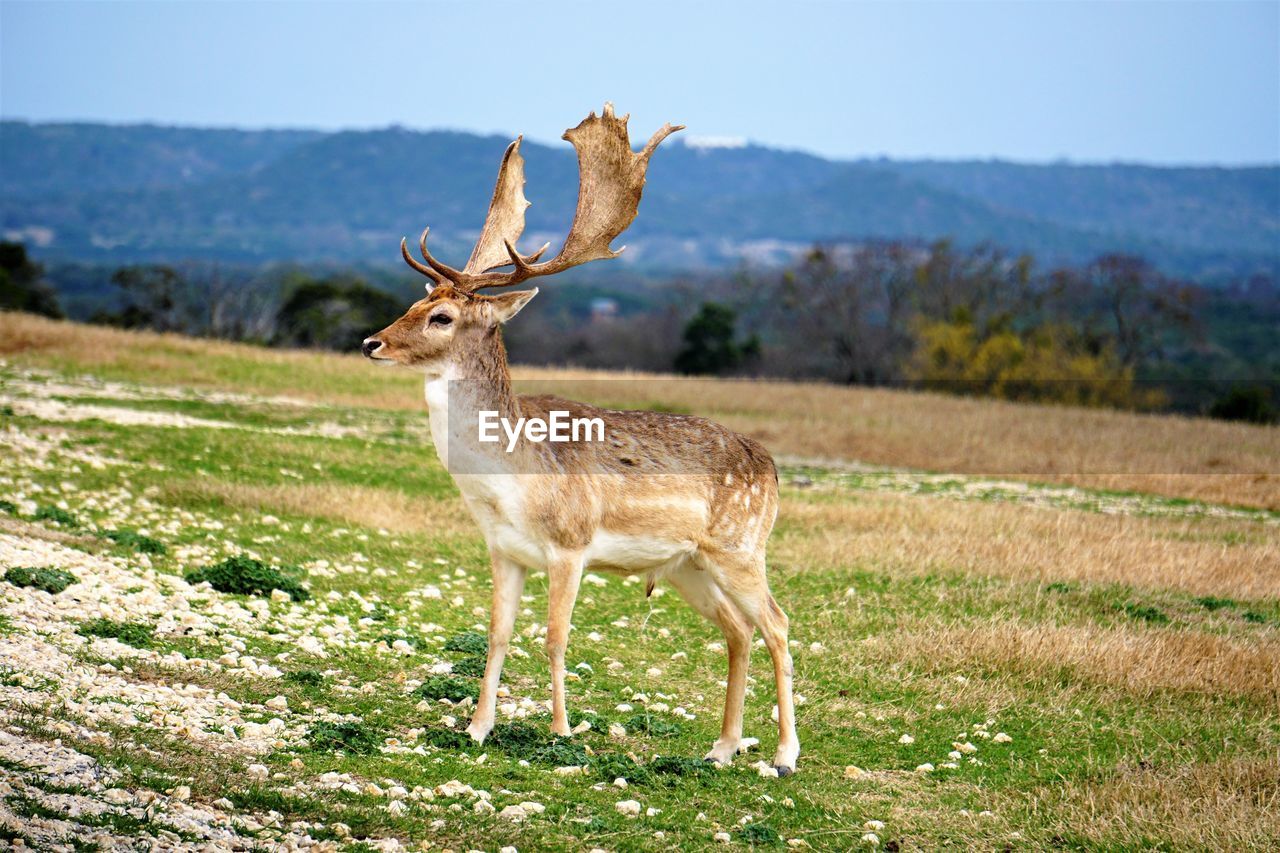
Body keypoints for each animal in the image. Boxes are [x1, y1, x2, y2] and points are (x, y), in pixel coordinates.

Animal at [362, 104, 799, 775]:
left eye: (442, 316)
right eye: (416, 300)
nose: (371, 342)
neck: (505, 480)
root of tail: (772, 466)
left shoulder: (571, 543)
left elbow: (555, 636)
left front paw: (562, 730)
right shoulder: (503, 549)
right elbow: (497, 632)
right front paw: (477, 728)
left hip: (741, 544)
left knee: (777, 623)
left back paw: (783, 754)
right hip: (688, 565)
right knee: (738, 629)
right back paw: (722, 746)